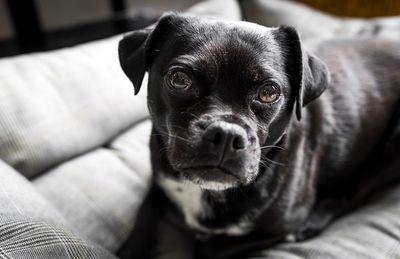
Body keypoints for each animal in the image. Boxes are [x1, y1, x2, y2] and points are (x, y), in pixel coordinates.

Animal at [117, 13, 400, 259]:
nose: (226, 134)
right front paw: (132, 248)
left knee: (356, 190)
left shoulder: (279, 227)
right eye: (179, 78)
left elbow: (211, 248)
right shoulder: (159, 177)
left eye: (269, 92)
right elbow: (146, 207)